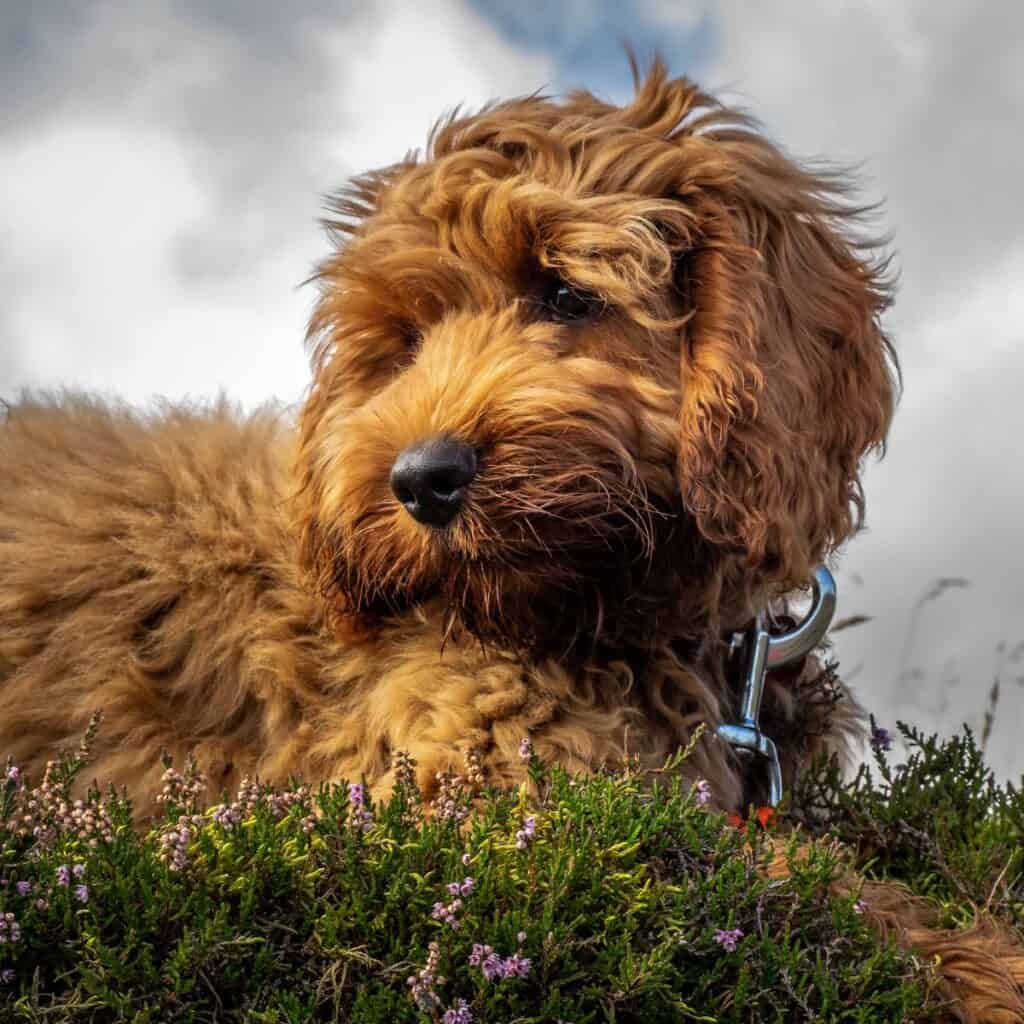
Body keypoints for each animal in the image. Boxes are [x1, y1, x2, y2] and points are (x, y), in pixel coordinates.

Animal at [0, 61, 1019, 1015]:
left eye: (564, 292)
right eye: (406, 340)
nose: (420, 481)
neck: (618, 615)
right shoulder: (478, 789)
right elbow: (783, 878)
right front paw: (986, 967)